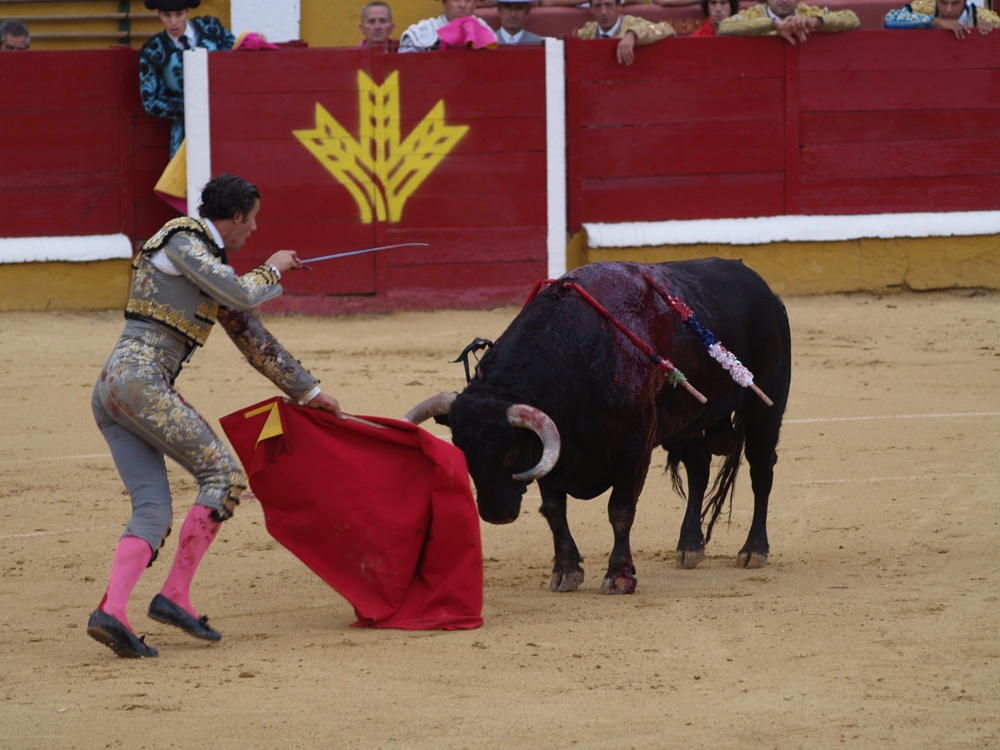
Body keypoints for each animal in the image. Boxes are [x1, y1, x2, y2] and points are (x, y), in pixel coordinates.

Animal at [404, 262, 788, 596]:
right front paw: (565, 572)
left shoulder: (634, 450)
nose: (496, 514)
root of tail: (766, 290)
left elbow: (620, 510)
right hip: (690, 421)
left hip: (764, 407)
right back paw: (689, 546)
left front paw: (619, 576)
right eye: (463, 452)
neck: (582, 354)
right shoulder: (552, 448)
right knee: (699, 468)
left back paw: (753, 550)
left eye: (510, 453)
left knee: (761, 472)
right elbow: (554, 511)